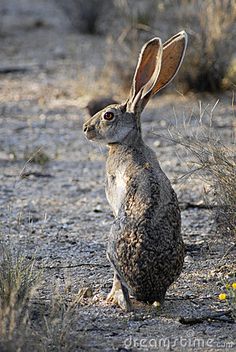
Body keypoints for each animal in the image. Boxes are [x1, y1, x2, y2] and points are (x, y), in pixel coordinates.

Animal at [83, 31, 188, 310]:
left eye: (108, 115)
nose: (86, 128)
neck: (129, 143)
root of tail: (150, 290)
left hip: (111, 246)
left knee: (120, 282)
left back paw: (112, 299)